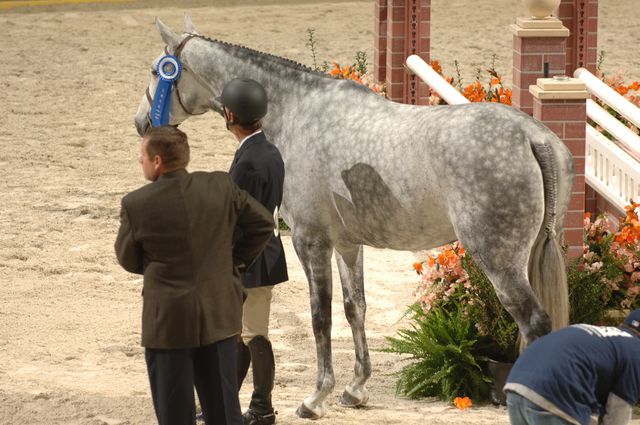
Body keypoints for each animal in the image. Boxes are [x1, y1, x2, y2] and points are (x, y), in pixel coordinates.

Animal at [135, 15, 576, 418]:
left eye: (159, 70)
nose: (142, 122)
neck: (297, 112)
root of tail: (533, 136)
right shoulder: (348, 244)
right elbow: (355, 307)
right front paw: (356, 388)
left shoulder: (311, 241)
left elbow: (321, 316)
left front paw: (316, 398)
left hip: (500, 262)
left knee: (534, 323)